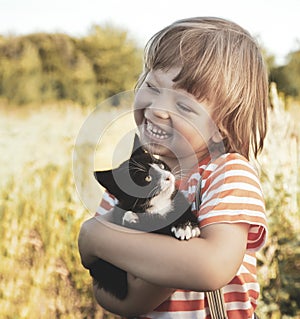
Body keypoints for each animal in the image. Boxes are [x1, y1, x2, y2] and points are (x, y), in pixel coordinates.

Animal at [89, 136, 202, 302]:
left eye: (161, 165)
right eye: (147, 178)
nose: (168, 177)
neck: (158, 205)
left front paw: (186, 226)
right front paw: (133, 218)